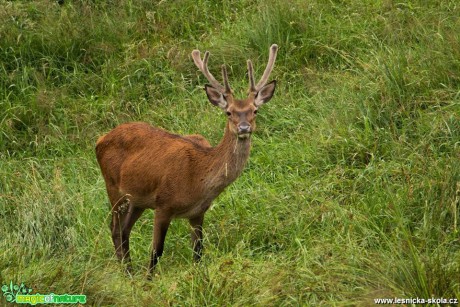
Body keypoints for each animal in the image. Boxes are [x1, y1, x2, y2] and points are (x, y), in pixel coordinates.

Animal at [95, 44, 278, 280]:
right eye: (229, 113)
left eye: (255, 110)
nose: (244, 128)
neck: (198, 179)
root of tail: (99, 140)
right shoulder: (163, 204)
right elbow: (156, 250)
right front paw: (149, 280)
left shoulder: (198, 212)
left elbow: (198, 251)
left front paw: (199, 277)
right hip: (113, 188)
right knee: (115, 228)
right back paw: (128, 273)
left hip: (137, 200)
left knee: (124, 229)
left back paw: (129, 271)